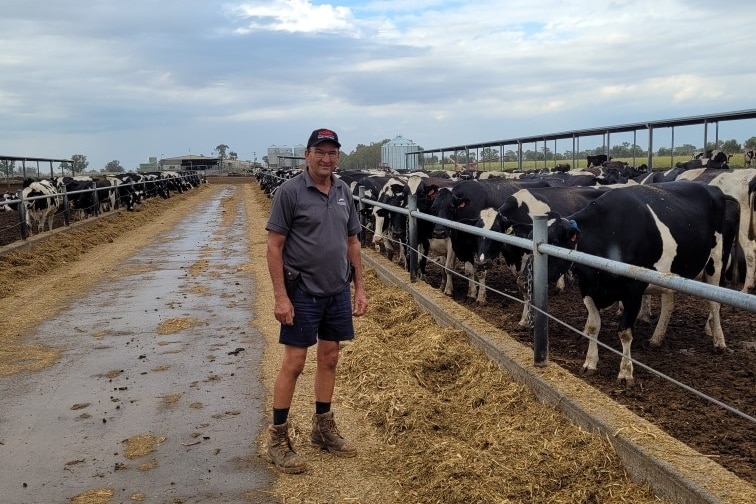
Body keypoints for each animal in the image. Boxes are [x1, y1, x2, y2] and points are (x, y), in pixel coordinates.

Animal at [544, 181, 732, 386]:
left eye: (555, 240)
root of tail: (712, 188)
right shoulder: (587, 288)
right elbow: (594, 326)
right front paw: (590, 363)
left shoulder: (633, 291)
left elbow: (625, 333)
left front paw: (625, 372)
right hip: (669, 273)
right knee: (669, 304)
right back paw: (656, 339)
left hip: (716, 263)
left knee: (714, 303)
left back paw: (719, 342)